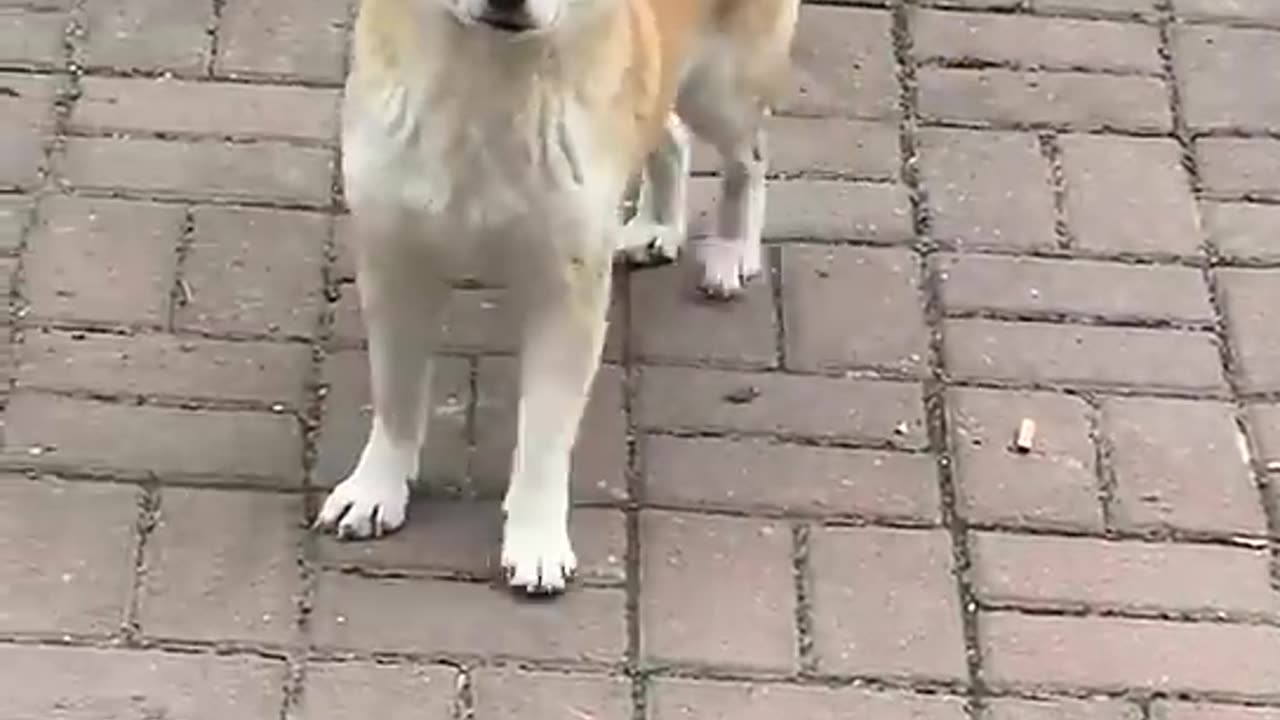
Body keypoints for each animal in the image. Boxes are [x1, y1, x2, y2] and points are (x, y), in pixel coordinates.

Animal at [313, 0, 798, 591]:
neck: (488, 77)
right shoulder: (394, 264)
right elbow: (396, 396)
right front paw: (376, 489)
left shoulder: (567, 292)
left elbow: (544, 428)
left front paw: (536, 539)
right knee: (672, 133)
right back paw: (657, 224)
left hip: (724, 89)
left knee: (749, 157)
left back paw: (733, 249)